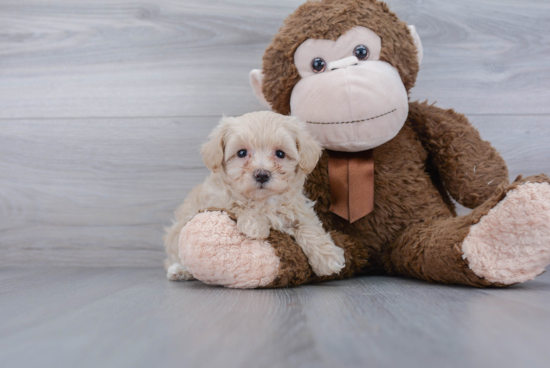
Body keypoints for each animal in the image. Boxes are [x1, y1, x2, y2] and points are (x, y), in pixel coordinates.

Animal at [164, 110, 348, 280]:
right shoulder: (216, 200)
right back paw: (179, 270)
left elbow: (309, 227)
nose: (262, 175)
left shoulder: (300, 211)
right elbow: (237, 204)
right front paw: (256, 226)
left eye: (280, 154)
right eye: (241, 153)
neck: (264, 200)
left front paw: (328, 258)